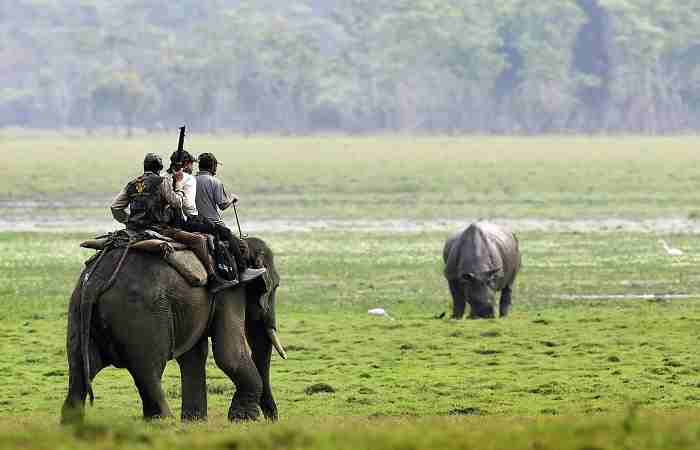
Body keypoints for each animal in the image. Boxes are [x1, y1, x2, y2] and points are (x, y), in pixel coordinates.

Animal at [59, 237, 284, 424]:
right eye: (274, 287)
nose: (273, 419)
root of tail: (96, 281)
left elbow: (194, 355)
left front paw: (195, 422)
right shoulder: (230, 289)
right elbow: (229, 355)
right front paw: (244, 420)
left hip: (78, 310)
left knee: (80, 366)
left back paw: (71, 425)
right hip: (142, 317)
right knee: (147, 369)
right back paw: (164, 422)